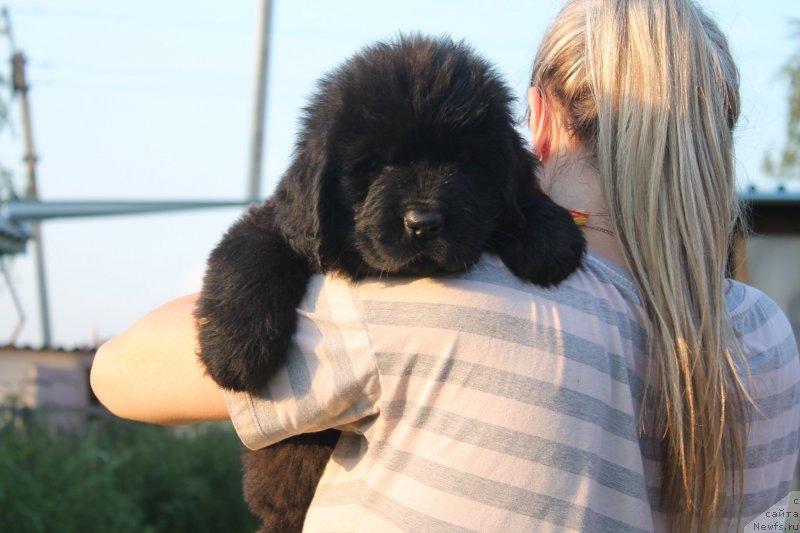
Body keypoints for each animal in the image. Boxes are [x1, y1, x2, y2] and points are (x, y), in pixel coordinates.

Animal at [197, 35, 584, 528]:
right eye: (374, 164)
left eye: (463, 163)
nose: (424, 223)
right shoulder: (280, 222)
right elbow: (249, 251)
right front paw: (233, 353)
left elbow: (519, 196)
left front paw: (550, 235)